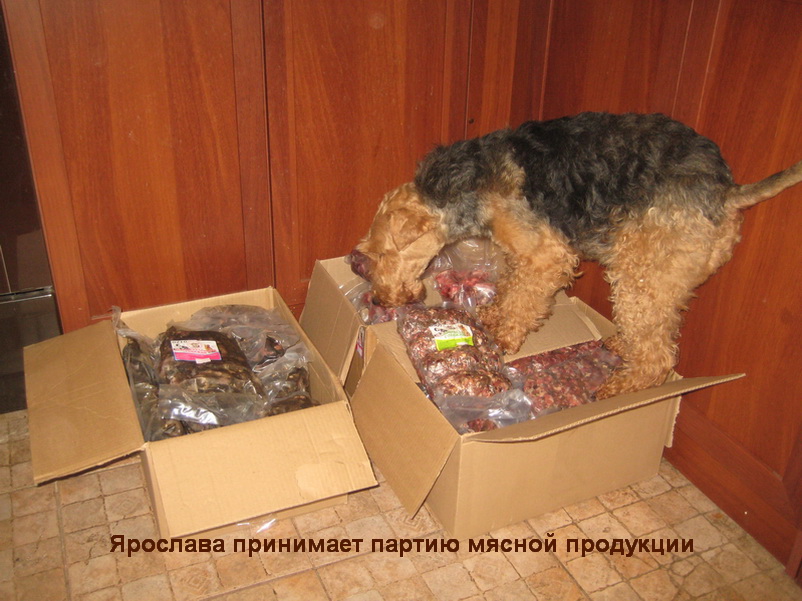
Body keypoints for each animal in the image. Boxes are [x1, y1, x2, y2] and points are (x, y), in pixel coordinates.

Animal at [355, 112, 802, 398]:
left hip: (640, 273)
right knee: (655, 333)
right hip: (663, 278)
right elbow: (512, 290)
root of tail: (728, 190)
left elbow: (523, 300)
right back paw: (621, 346)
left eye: (382, 254)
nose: (380, 300)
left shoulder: (546, 254)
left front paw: (502, 337)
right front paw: (493, 316)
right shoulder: (523, 253)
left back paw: (618, 388)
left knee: (658, 356)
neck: (463, 189)